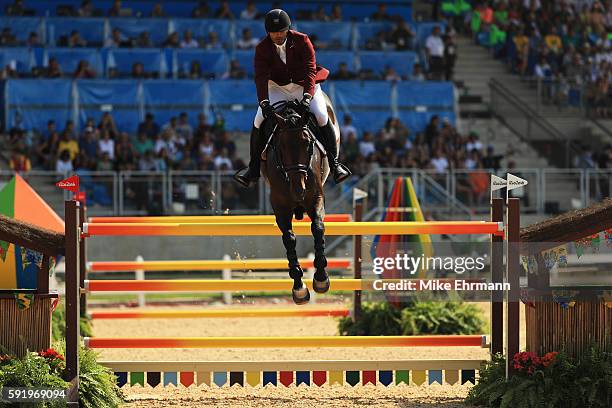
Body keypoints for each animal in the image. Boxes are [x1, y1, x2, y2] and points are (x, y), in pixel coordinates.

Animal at [262, 93, 342, 302]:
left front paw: (321, 278)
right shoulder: (280, 205)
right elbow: (289, 238)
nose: (299, 190)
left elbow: (318, 228)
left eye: (308, 145)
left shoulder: (316, 198)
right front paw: (299, 286)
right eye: (281, 146)